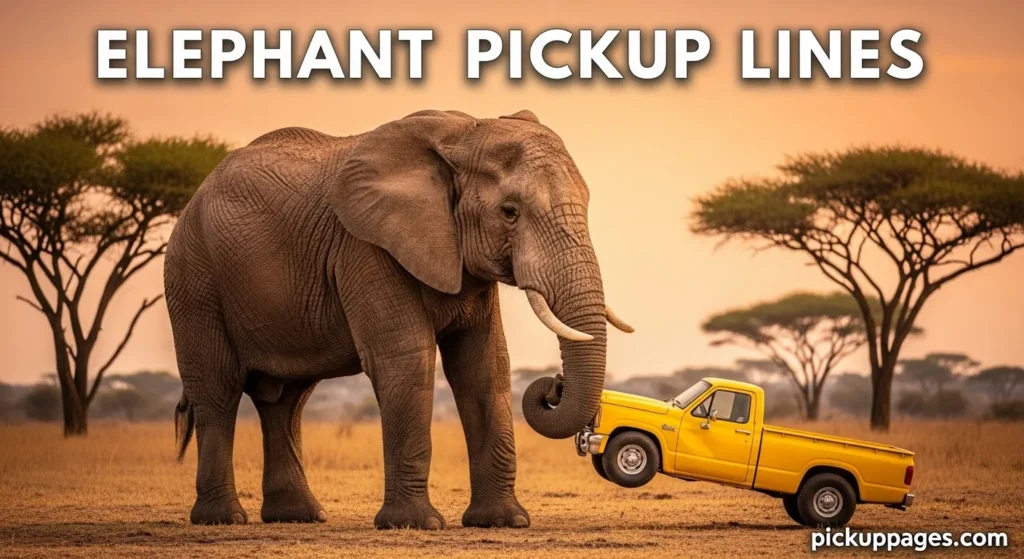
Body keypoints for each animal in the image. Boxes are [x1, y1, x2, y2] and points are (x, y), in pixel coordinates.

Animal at [165, 109, 633, 529]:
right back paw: (223, 519)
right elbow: (407, 359)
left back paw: (298, 517)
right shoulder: (365, 247)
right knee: (218, 389)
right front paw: (414, 524)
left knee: (286, 401)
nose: (553, 385)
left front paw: (505, 522)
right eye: (510, 212)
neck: (463, 133)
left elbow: (484, 366)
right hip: (194, 279)